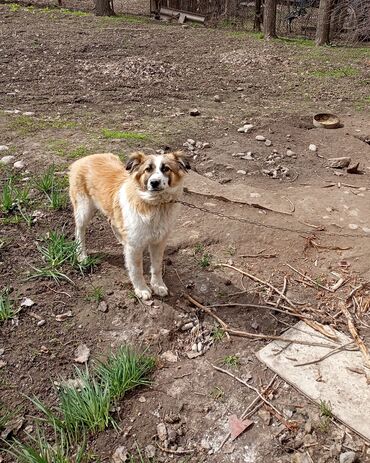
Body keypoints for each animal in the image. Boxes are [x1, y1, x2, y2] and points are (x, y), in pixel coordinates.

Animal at [69, 152, 189, 300]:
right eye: (148, 169)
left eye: (166, 168)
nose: (154, 182)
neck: (154, 205)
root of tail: (85, 158)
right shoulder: (135, 247)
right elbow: (137, 270)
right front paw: (141, 289)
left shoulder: (159, 242)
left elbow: (157, 266)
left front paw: (158, 285)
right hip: (84, 208)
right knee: (79, 230)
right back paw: (81, 255)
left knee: (112, 220)